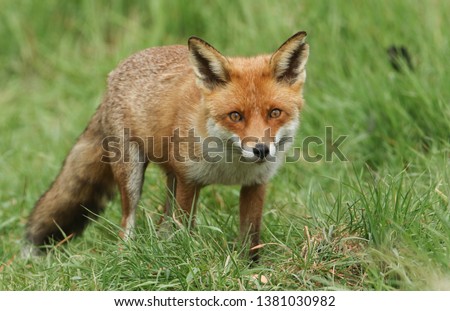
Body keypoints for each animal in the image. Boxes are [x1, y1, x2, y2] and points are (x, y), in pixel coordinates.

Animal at [24, 32, 310, 260]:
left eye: (275, 113)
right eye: (235, 116)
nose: (261, 149)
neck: (229, 166)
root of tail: (115, 73)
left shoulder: (255, 184)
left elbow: (251, 236)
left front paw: (249, 269)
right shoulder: (189, 181)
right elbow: (185, 229)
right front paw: (189, 259)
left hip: (170, 179)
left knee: (163, 221)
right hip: (132, 174)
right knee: (128, 223)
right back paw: (127, 256)